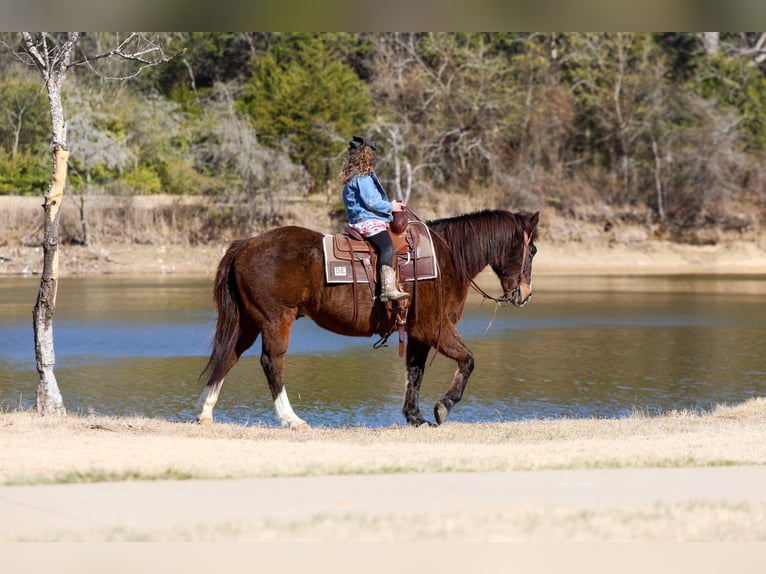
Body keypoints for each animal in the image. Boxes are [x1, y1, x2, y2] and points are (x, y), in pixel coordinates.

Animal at [197, 209, 539, 428]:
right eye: (533, 250)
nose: (525, 293)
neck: (448, 257)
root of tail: (247, 244)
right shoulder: (436, 328)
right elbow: (468, 361)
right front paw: (443, 407)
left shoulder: (417, 333)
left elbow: (414, 373)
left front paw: (414, 417)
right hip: (275, 319)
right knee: (272, 363)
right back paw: (291, 419)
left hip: (247, 322)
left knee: (228, 356)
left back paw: (206, 412)